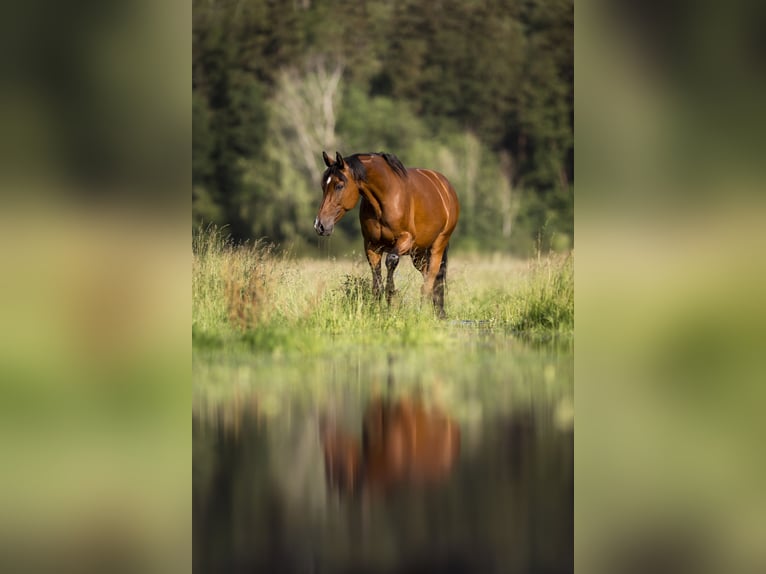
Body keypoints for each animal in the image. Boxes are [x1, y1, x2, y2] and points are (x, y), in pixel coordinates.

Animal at [314, 153, 460, 320]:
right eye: (323, 186)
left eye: (339, 185)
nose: (320, 225)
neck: (386, 197)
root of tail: (445, 186)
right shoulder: (372, 246)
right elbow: (376, 281)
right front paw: (376, 311)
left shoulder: (405, 239)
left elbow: (391, 261)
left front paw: (391, 298)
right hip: (419, 253)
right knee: (430, 276)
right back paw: (438, 312)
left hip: (438, 244)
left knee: (431, 278)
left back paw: (423, 312)